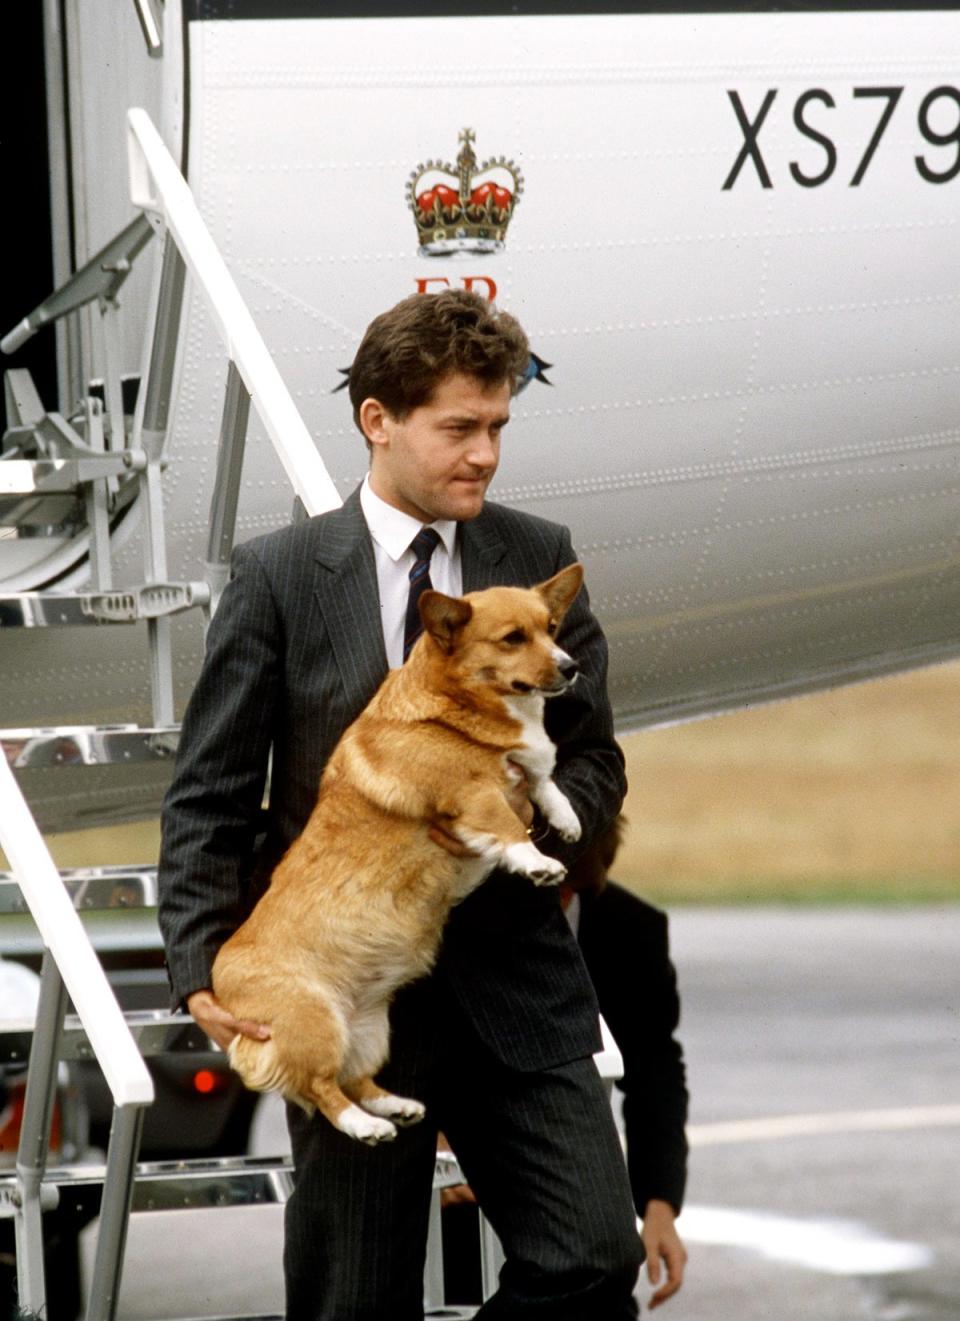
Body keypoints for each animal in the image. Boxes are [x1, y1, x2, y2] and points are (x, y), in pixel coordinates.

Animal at [212, 562, 586, 1141]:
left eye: (551, 628)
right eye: (513, 639)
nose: (572, 667)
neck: (455, 706)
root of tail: (221, 985)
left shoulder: (523, 771)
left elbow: (544, 785)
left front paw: (566, 819)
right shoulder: (472, 794)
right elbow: (506, 825)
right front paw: (537, 862)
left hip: (370, 1028)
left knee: (355, 1078)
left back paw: (395, 1106)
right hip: (316, 1024)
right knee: (321, 1088)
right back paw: (365, 1126)